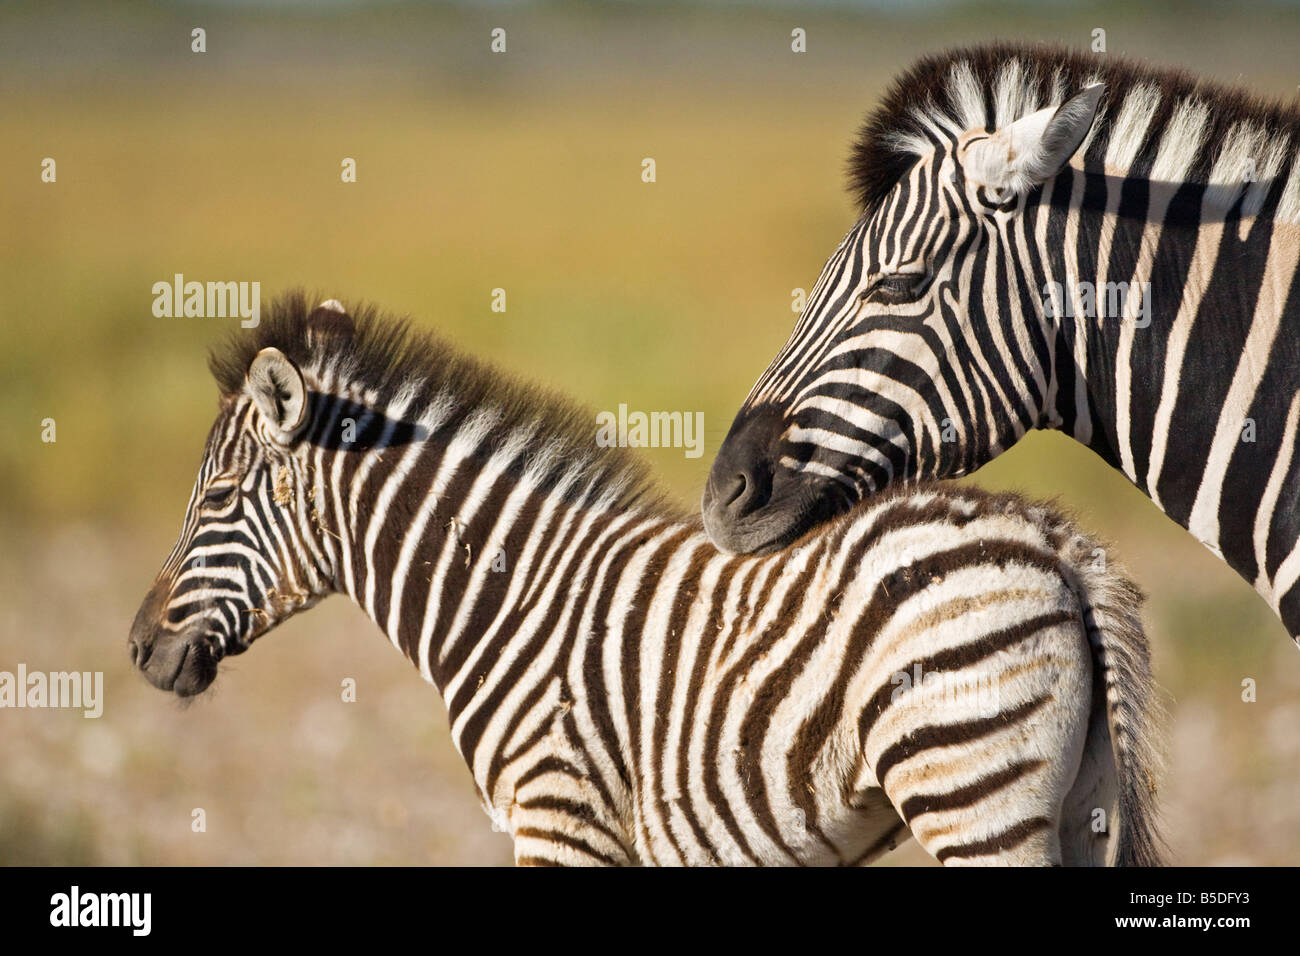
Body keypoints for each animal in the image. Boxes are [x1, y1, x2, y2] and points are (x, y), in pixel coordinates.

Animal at [129, 293, 1162, 866]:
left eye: (215, 496)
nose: (140, 649)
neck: (501, 601)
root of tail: (1056, 542)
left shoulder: (560, 816)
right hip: (1076, 803)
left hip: (970, 785)